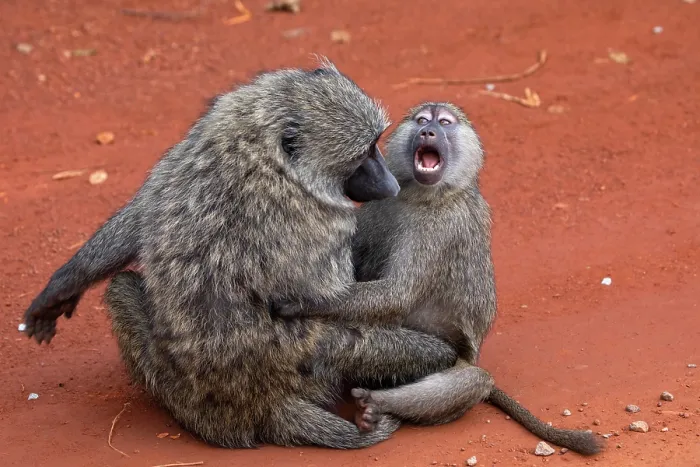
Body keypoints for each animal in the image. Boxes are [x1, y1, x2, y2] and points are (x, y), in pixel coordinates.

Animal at [20, 61, 460, 449]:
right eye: (365, 153)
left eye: (374, 146)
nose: (390, 185)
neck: (258, 142)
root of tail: (259, 406)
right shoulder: (325, 220)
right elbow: (327, 309)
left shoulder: (200, 136)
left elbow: (140, 216)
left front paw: (60, 289)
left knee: (121, 288)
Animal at [273, 102, 604, 456]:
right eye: (422, 120)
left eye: (444, 123)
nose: (428, 131)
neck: (425, 194)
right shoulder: (383, 204)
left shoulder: (442, 228)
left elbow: (396, 295)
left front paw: (299, 301)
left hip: (455, 360)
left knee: (475, 380)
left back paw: (375, 404)